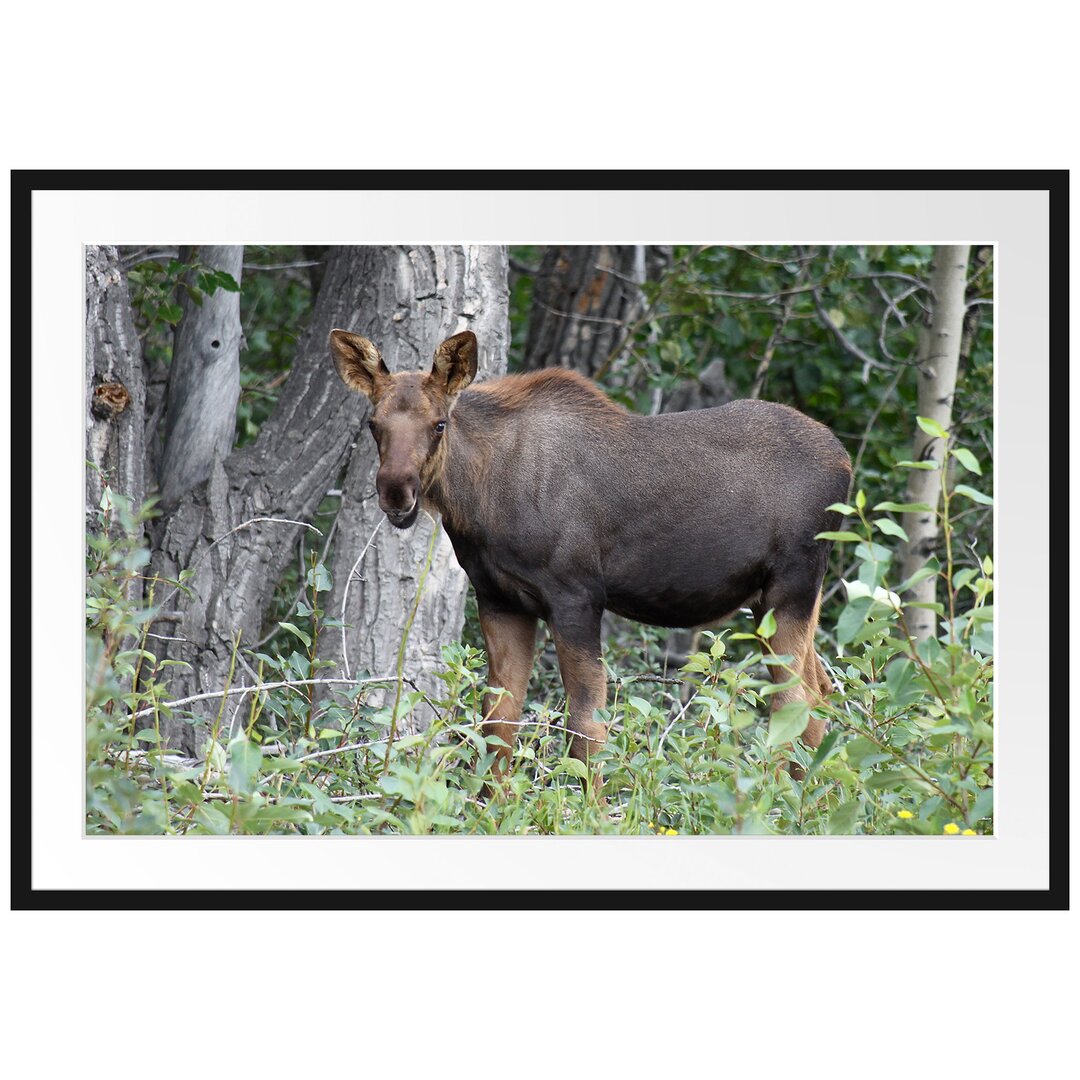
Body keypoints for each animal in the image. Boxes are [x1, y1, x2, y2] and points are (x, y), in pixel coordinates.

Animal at [328, 326, 851, 786]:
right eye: (373, 424)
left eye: (439, 424)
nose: (396, 493)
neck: (479, 503)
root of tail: (846, 462)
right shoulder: (500, 600)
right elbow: (498, 721)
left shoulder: (576, 596)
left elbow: (585, 726)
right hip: (773, 601)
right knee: (820, 691)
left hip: (793, 586)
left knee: (794, 698)